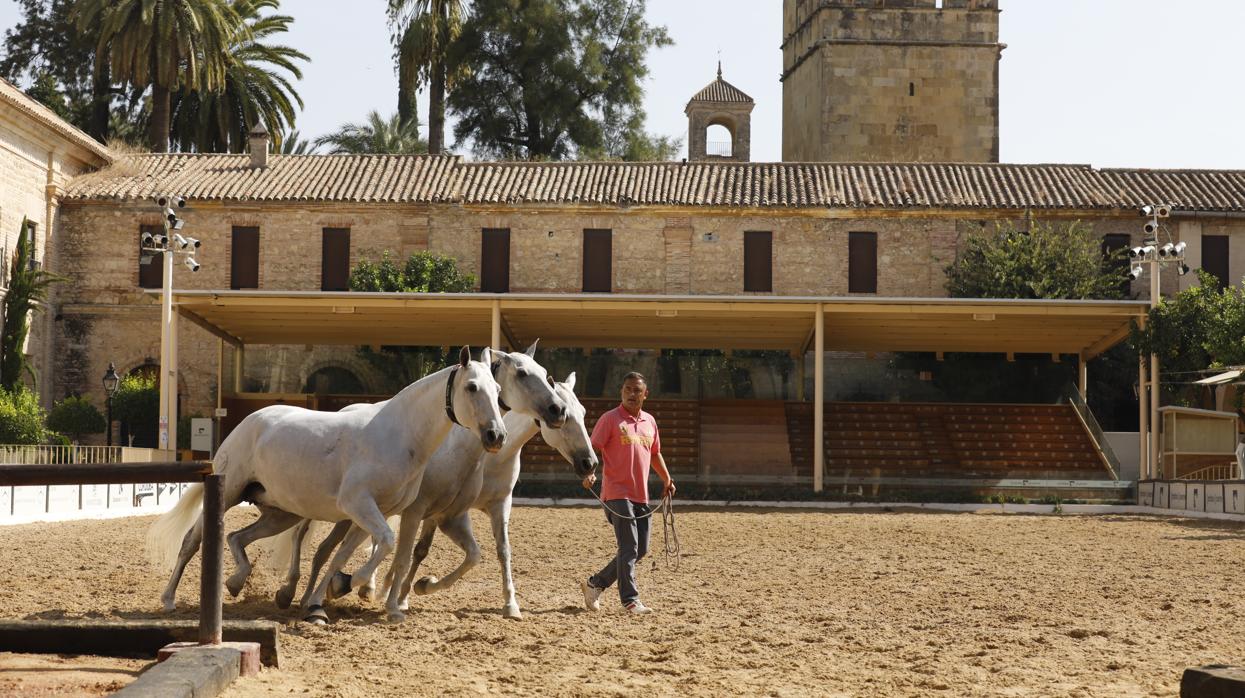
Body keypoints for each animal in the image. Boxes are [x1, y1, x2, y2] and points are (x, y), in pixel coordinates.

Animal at [148, 345, 507, 622]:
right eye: (472, 387)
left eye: (498, 392)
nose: (496, 436)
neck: (400, 435)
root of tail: (249, 421)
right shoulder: (358, 504)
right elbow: (385, 544)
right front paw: (348, 585)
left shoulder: (369, 514)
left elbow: (343, 555)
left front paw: (323, 600)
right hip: (229, 492)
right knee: (192, 541)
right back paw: (169, 599)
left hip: (281, 513)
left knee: (238, 537)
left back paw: (237, 582)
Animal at [278, 375, 597, 619]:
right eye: (566, 417)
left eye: (583, 413)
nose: (589, 463)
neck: (488, 457)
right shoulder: (434, 512)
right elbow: (417, 551)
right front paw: (401, 594)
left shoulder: (488, 508)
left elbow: (496, 552)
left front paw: (510, 605)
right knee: (305, 536)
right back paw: (294, 592)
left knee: (335, 547)